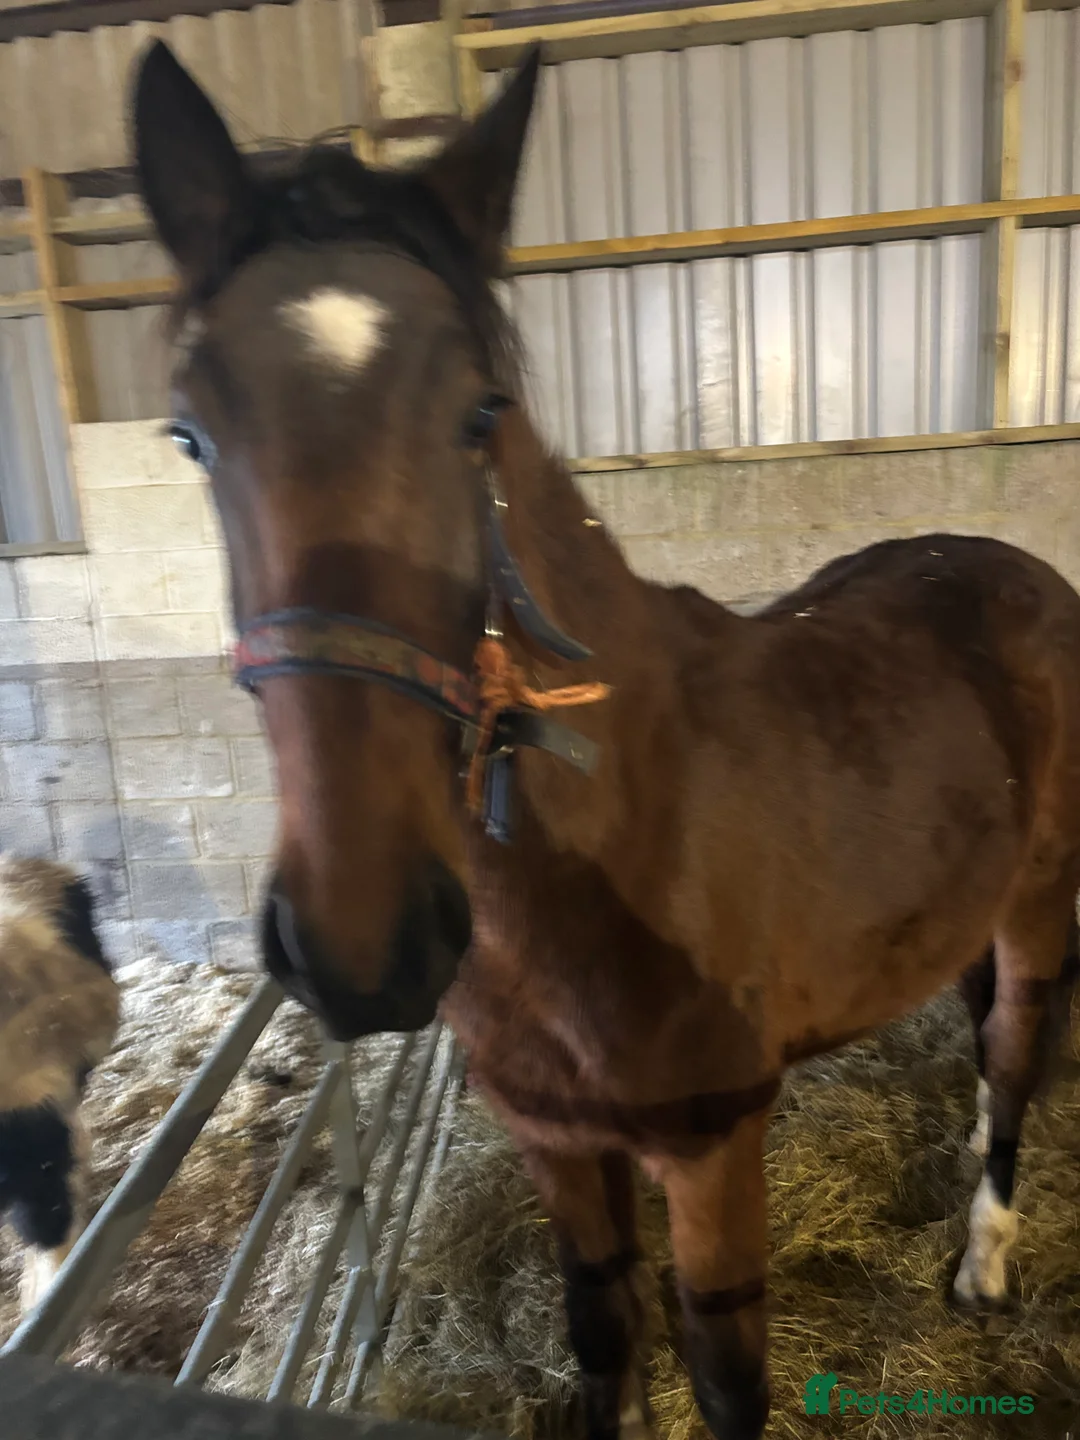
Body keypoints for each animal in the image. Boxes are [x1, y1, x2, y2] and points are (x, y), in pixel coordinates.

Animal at [132, 42, 1080, 1439]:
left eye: (480, 414)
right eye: (190, 433)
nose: (364, 946)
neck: (625, 841)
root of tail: (1018, 574)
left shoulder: (713, 1150)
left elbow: (726, 1379)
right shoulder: (556, 1143)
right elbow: (600, 1330)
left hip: (1038, 900)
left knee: (1013, 1059)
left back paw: (985, 1262)